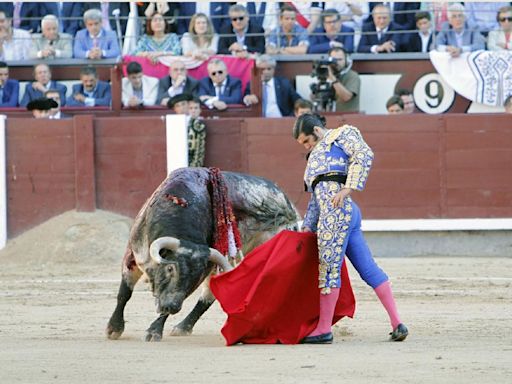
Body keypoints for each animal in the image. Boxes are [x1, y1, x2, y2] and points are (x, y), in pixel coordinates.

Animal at [107, 168, 300, 342]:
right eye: (170, 269)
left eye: (195, 278)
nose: (172, 307)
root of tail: (287, 204)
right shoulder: (133, 254)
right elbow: (124, 293)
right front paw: (114, 328)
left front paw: (153, 331)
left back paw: (184, 326)